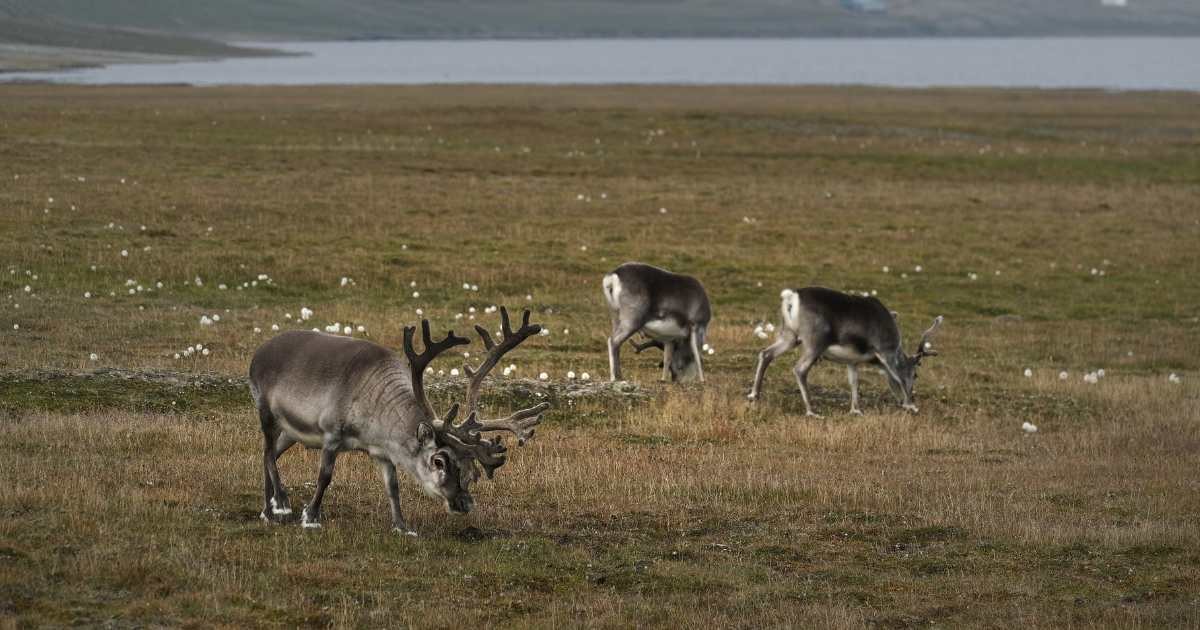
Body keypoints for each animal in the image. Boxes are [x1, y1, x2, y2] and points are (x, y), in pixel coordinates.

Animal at [248, 307, 549, 535]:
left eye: (469, 467)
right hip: (266, 411)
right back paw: (282, 502)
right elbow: (325, 477)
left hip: (291, 432)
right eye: (439, 461)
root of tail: (258, 352)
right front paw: (310, 516)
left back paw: (268, 510)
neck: (374, 422)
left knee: (268, 455)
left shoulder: (383, 452)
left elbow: (393, 488)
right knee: (267, 452)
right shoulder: (331, 434)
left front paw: (402, 527)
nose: (464, 503)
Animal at [747, 287, 943, 416]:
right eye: (916, 374)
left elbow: (854, 382)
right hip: (814, 343)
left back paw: (754, 395)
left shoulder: (852, 362)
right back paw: (811, 411)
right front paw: (911, 406)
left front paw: (856, 410)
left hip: (790, 336)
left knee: (765, 353)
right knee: (799, 369)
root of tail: (791, 297)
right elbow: (899, 376)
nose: (906, 400)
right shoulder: (885, 350)